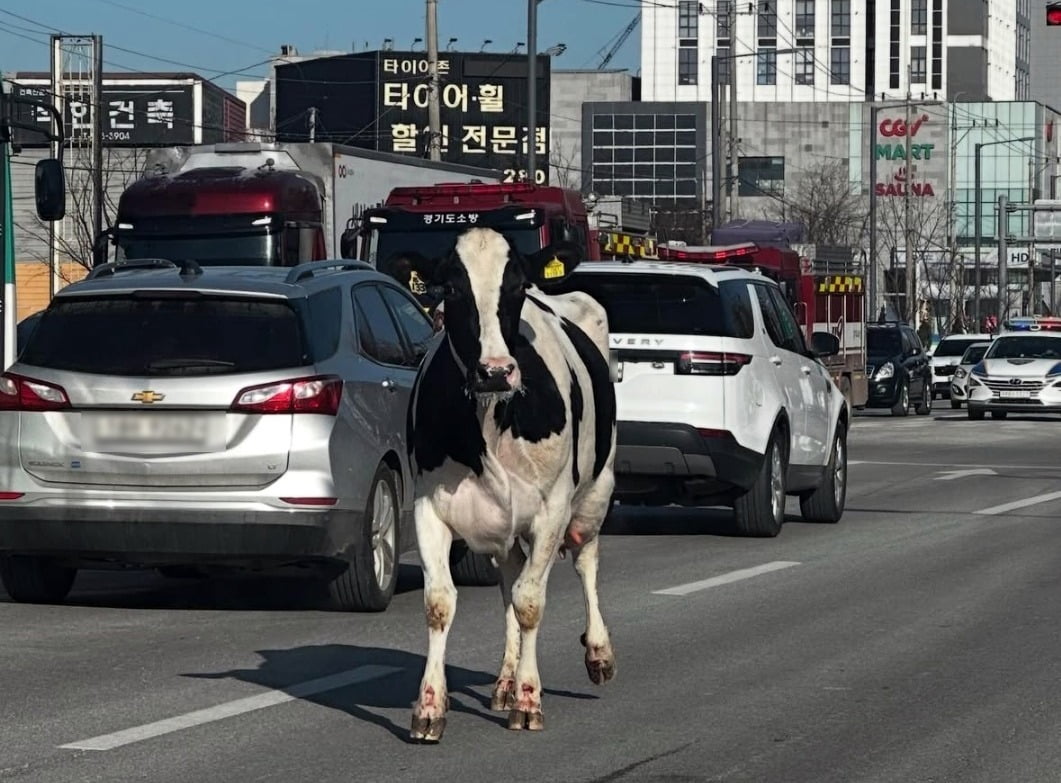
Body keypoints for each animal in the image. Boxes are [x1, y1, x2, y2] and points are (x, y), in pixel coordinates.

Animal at [405, 223, 619, 738]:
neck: (490, 418)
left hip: (595, 494)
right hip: (501, 524)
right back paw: (503, 680)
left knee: (586, 562)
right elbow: (440, 602)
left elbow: (530, 603)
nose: (495, 370)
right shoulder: (428, 506)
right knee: (508, 576)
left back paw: (598, 652)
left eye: (517, 288)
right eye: (451, 289)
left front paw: (528, 697)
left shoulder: (552, 510)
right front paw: (430, 706)